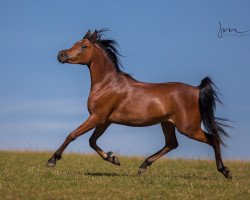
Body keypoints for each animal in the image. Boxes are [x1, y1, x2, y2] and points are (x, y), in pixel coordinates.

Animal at [46, 28, 231, 179]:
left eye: (84, 46)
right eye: (75, 43)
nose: (60, 54)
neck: (107, 84)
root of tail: (197, 89)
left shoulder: (97, 117)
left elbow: (72, 135)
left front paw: (52, 160)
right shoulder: (105, 121)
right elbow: (92, 141)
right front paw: (113, 158)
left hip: (188, 127)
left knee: (213, 139)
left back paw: (225, 171)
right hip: (167, 123)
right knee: (172, 144)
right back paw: (143, 166)